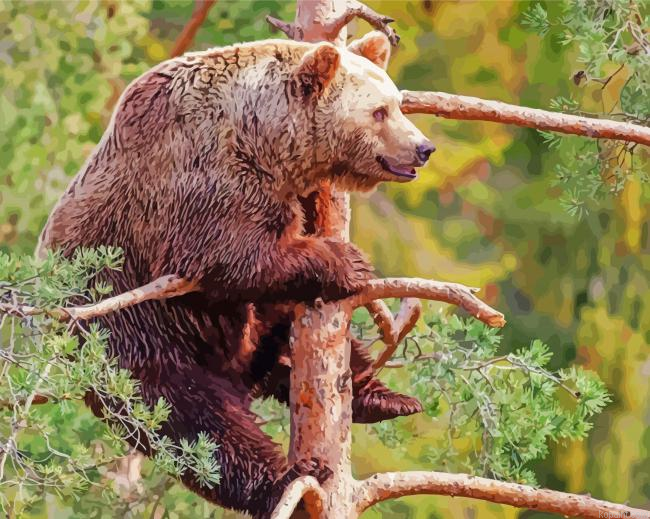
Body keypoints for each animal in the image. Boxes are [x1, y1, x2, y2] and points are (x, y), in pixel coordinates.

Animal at [38, 32, 434, 517]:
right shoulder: (200, 179)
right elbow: (228, 255)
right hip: (132, 338)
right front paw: (347, 261)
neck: (262, 139)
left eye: (398, 103)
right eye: (379, 112)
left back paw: (382, 397)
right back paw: (289, 478)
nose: (423, 148)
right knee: (198, 426)